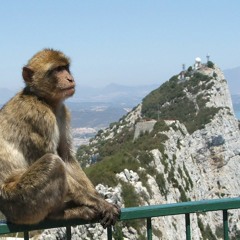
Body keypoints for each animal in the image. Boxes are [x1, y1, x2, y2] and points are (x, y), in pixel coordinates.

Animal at [0, 47, 120, 228]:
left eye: (65, 68)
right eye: (57, 70)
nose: (70, 78)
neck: (43, 99)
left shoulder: (63, 112)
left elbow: (66, 157)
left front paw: (97, 196)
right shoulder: (39, 118)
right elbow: (57, 159)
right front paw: (98, 203)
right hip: (20, 202)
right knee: (53, 163)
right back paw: (57, 214)